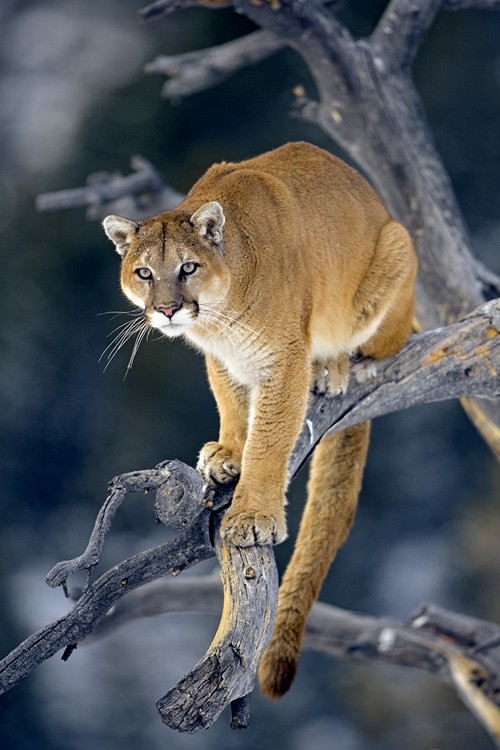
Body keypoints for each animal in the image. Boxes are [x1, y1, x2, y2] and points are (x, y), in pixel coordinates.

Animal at [104, 144, 418, 704]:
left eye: (187, 267)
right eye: (143, 273)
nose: (167, 309)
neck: (218, 317)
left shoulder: (282, 359)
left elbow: (270, 438)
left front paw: (253, 515)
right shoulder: (221, 358)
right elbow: (231, 404)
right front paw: (229, 453)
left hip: (395, 254)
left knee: (366, 344)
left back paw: (332, 369)